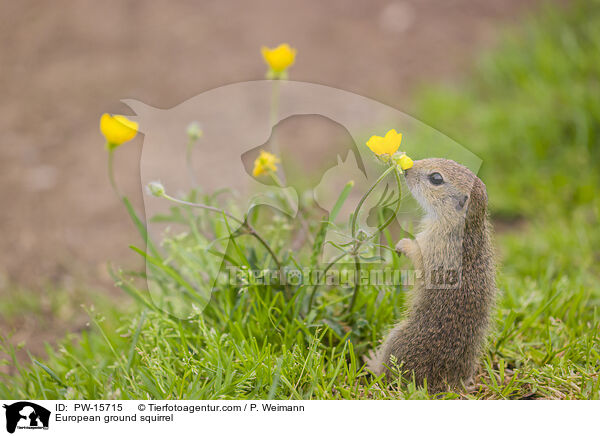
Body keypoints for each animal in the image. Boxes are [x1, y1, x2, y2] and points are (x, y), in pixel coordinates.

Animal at [370, 158, 496, 394]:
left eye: (436, 178)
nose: (407, 169)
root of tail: (450, 384)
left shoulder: (434, 245)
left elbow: (419, 256)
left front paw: (402, 245)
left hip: (396, 340)